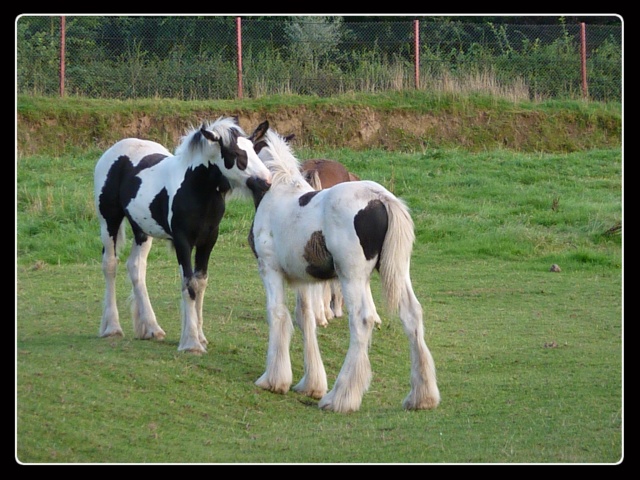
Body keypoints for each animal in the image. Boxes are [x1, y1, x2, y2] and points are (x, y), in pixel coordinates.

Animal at [246, 126, 440, 412]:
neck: (278, 191)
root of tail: (381, 198)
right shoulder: (304, 279)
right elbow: (305, 319)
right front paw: (310, 384)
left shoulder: (270, 269)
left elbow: (278, 315)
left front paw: (273, 380)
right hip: (398, 272)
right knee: (412, 315)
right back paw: (422, 397)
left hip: (352, 277)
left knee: (362, 320)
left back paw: (340, 398)